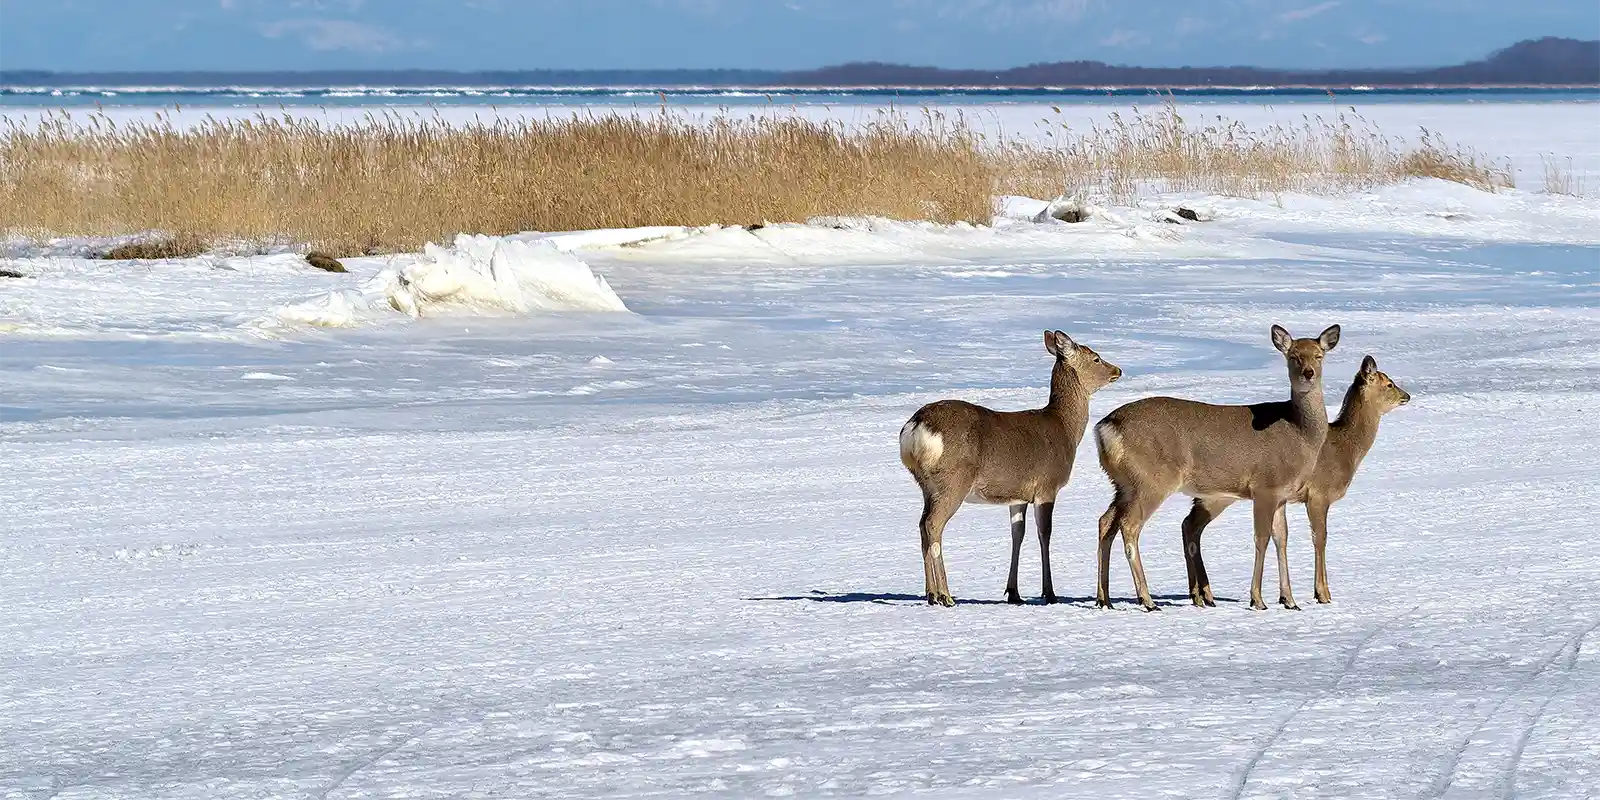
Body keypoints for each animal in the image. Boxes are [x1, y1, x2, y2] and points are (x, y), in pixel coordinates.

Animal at [899, 330, 1123, 606]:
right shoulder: (1047, 486)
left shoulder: (1017, 496)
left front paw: (1014, 592)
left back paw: (931, 594)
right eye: (1096, 358)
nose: (1118, 370)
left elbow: (1018, 534)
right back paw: (945, 595)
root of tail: (916, 428)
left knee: (922, 525)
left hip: (927, 486)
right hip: (953, 481)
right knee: (933, 525)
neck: (1065, 429)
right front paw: (1049, 593)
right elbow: (1044, 534)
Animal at [1093, 324, 1342, 612]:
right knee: (1130, 526)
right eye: (1293, 357)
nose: (1308, 373)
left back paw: (1104, 599)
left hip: (1123, 483)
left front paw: (1289, 600)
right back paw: (1147, 599)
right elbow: (1261, 539)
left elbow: (1282, 539)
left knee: (1106, 521)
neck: (1299, 432)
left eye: (1319, 355)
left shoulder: (1282, 494)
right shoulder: (1265, 486)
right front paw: (1258, 599)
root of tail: (1105, 427)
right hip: (1151, 479)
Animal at [1181, 355, 1410, 606]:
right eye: (1388, 383)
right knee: (1191, 525)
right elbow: (1320, 538)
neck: (1345, 450)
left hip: (1214, 496)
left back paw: (1201, 594)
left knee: (1189, 524)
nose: (1407, 396)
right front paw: (1323, 594)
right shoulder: (1319, 493)